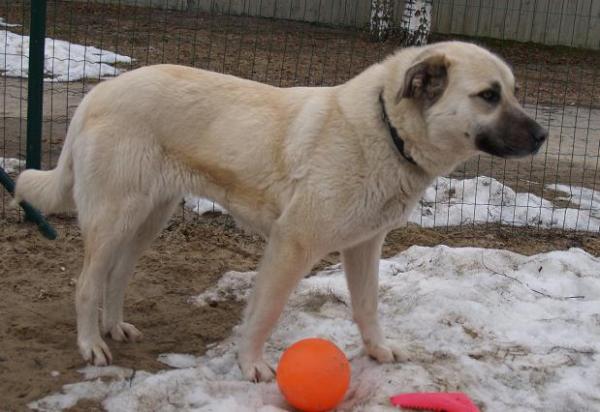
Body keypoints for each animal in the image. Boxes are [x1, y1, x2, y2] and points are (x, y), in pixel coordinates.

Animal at [14, 41, 547, 382]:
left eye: (514, 92)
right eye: (488, 96)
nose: (543, 136)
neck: (387, 130)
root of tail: (98, 92)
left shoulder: (364, 246)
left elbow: (367, 306)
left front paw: (376, 351)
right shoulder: (292, 245)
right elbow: (266, 311)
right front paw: (250, 365)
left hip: (149, 218)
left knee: (118, 274)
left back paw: (114, 326)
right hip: (116, 216)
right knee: (86, 283)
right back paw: (91, 343)